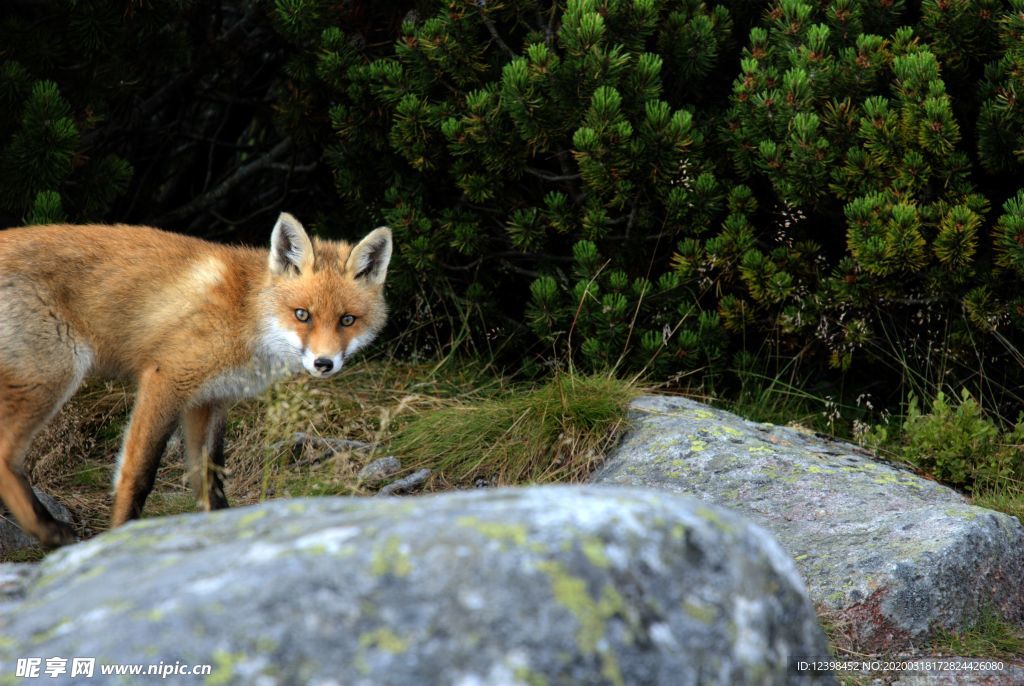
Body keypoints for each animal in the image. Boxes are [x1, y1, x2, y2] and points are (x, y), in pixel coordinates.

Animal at [0, 215, 391, 548]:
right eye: (302, 314)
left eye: (347, 320)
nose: (324, 363)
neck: (246, 313)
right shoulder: (166, 379)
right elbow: (137, 475)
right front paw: (121, 535)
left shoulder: (209, 401)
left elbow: (211, 482)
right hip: (52, 376)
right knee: (6, 455)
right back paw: (48, 531)